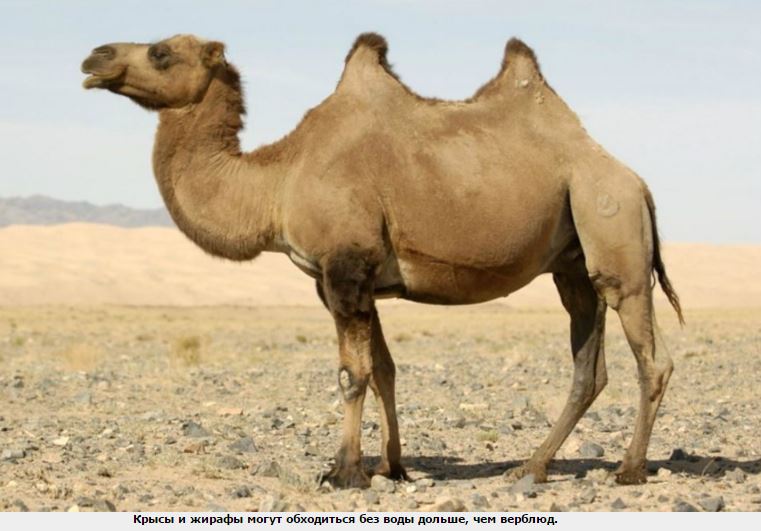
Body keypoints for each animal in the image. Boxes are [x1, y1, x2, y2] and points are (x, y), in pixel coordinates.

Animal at [81, 33, 683, 488]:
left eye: (161, 52)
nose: (94, 58)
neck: (278, 181)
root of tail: (636, 180)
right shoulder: (346, 281)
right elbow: (384, 371)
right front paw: (392, 467)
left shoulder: (346, 267)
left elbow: (353, 373)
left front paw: (344, 472)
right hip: (572, 260)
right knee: (588, 364)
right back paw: (530, 467)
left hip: (611, 225)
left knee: (649, 355)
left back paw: (629, 470)